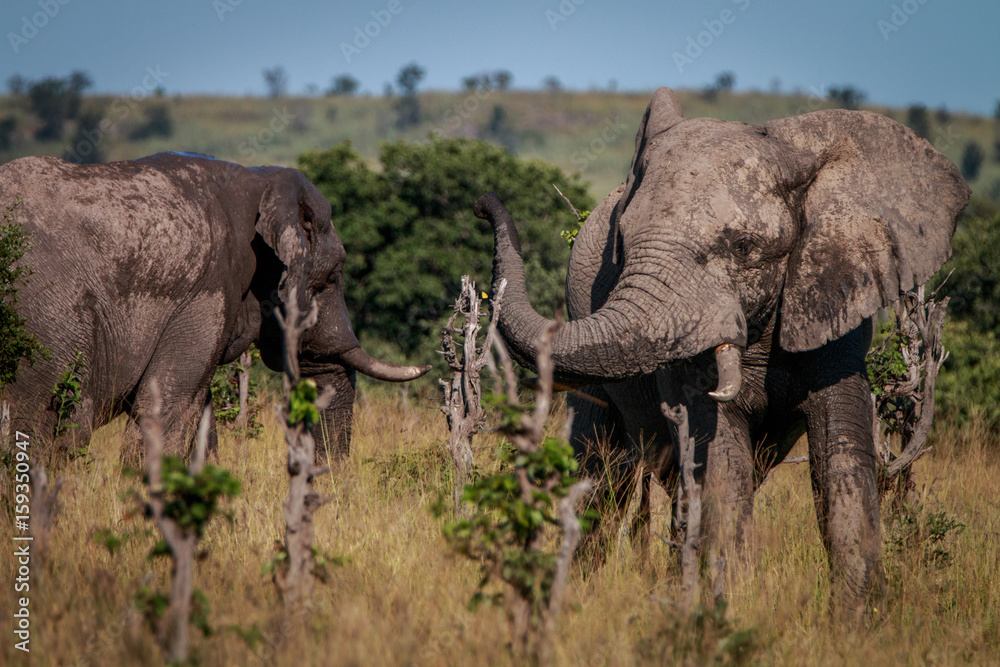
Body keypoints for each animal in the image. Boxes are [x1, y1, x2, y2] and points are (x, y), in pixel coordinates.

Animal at [1, 152, 429, 460]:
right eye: (334, 276)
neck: (259, 180)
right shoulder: (205, 292)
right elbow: (169, 409)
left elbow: (200, 416)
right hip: (48, 325)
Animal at [474, 88, 970, 618]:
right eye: (622, 243)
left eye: (744, 247)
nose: (483, 205)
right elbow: (719, 458)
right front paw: (734, 607)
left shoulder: (836, 299)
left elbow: (842, 448)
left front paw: (860, 618)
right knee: (603, 472)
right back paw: (580, 593)